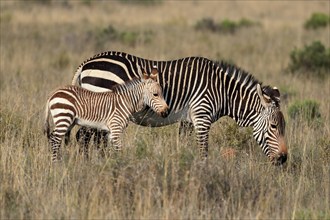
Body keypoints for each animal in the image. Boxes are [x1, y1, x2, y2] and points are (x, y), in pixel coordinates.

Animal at [71, 51, 288, 164]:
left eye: (284, 127)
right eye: (273, 127)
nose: (284, 159)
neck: (223, 92)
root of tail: (86, 63)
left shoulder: (188, 120)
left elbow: (185, 145)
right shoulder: (202, 116)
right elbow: (203, 150)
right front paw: (204, 173)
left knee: (90, 139)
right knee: (84, 138)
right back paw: (91, 165)